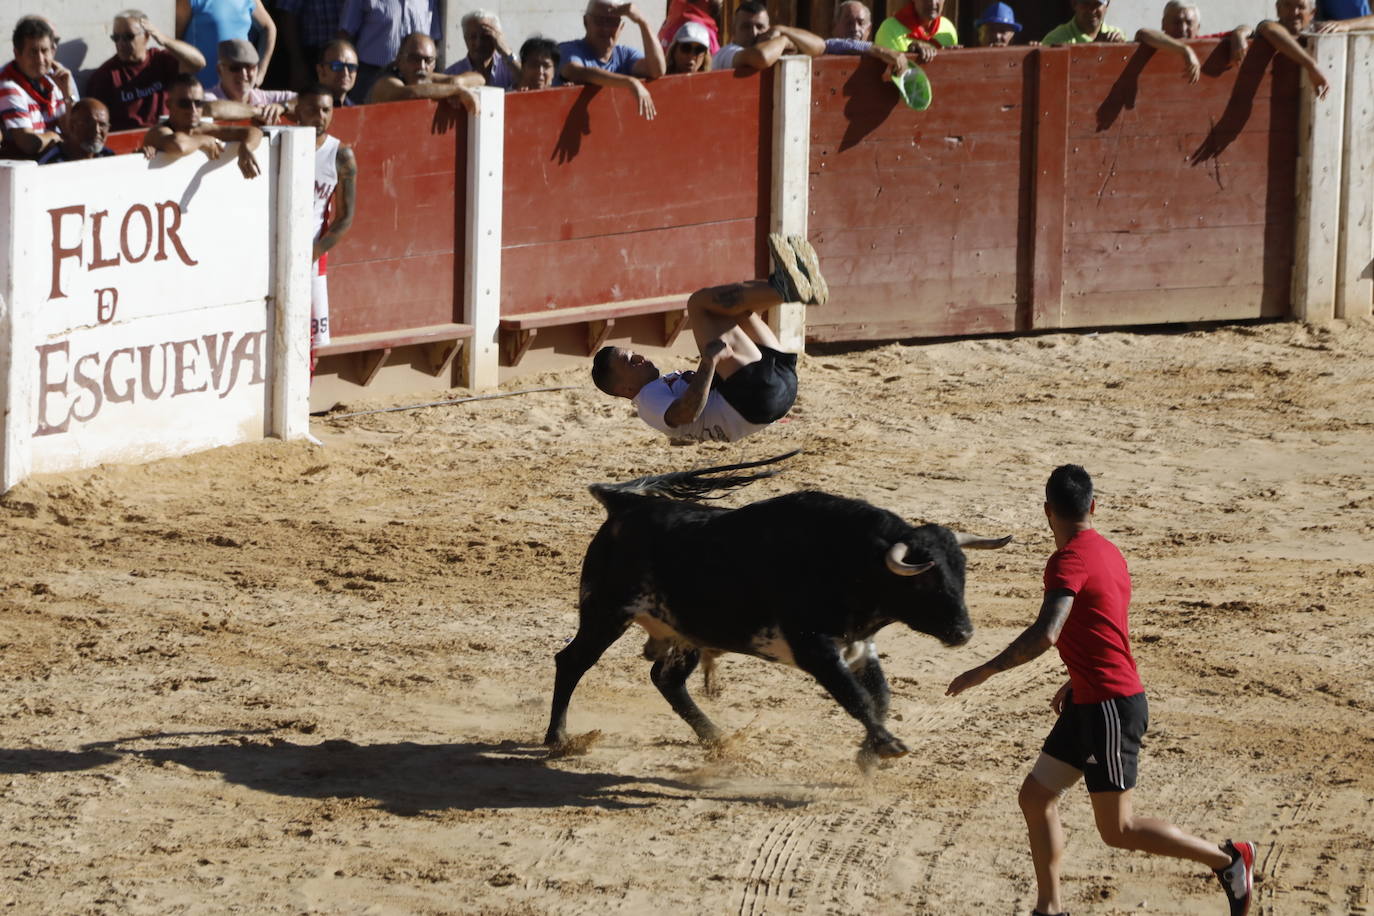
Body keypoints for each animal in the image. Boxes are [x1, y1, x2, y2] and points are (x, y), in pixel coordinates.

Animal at [544, 453, 1011, 769]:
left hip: (686, 632)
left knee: (666, 679)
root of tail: (624, 505)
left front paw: (870, 752)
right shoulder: (815, 648)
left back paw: (717, 739)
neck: (850, 559)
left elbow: (879, 696)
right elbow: (856, 698)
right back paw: (558, 737)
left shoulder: (859, 646)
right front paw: (887, 746)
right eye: (923, 581)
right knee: (572, 662)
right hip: (606, 613)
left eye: (961, 573)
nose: (963, 633)